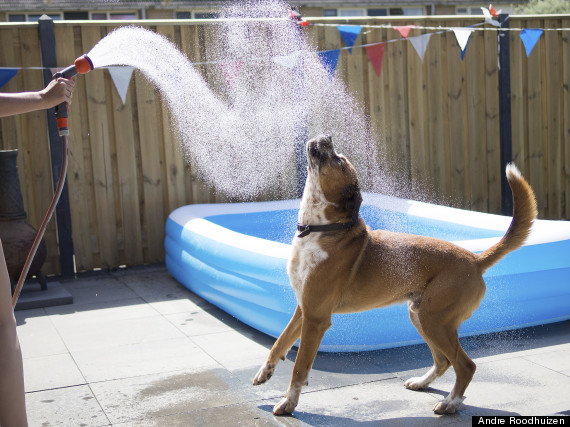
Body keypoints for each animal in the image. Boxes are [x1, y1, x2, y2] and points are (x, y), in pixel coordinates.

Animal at [253, 134, 536, 414]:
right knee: (444, 361)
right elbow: (279, 343)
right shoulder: (303, 309)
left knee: (465, 365)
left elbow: (300, 366)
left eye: (339, 161)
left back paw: (450, 402)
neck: (322, 229)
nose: (327, 136)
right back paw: (422, 383)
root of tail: (475, 260)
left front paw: (288, 403)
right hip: (421, 316)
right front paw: (265, 372)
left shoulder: (315, 318)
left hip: (434, 320)